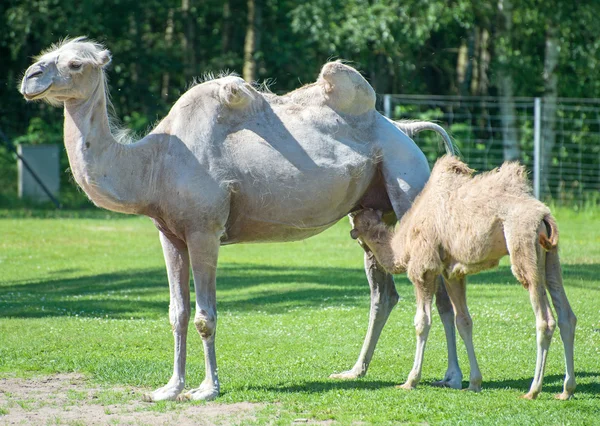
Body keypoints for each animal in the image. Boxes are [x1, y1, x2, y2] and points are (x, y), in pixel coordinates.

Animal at [19, 36, 460, 400]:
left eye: (76, 63)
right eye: (49, 54)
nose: (30, 77)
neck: (153, 163)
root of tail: (403, 129)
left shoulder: (204, 230)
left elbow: (204, 316)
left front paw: (206, 390)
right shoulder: (169, 233)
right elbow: (177, 313)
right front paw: (169, 389)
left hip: (406, 180)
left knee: (435, 288)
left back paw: (451, 376)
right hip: (367, 209)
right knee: (382, 293)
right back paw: (354, 371)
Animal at [352, 156, 576, 400]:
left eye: (356, 221)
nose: (351, 218)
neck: (403, 245)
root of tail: (544, 216)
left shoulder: (423, 268)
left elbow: (422, 322)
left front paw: (410, 381)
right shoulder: (452, 272)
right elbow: (464, 321)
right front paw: (474, 382)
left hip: (524, 247)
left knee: (545, 319)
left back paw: (533, 390)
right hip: (551, 257)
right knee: (566, 315)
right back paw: (566, 390)